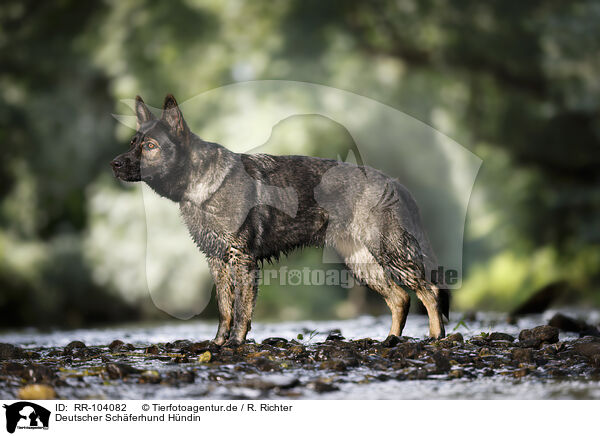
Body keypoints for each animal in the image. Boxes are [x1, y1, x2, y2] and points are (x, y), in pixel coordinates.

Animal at [110, 95, 448, 348]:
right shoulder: (217, 261)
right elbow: (224, 309)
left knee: (429, 291)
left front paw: (235, 343)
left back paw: (435, 337)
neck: (200, 183)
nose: (113, 164)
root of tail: (394, 183)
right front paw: (217, 344)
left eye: (150, 146)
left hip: (390, 253)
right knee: (401, 298)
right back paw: (391, 340)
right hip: (362, 262)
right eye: (132, 142)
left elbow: (241, 309)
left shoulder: (242, 259)